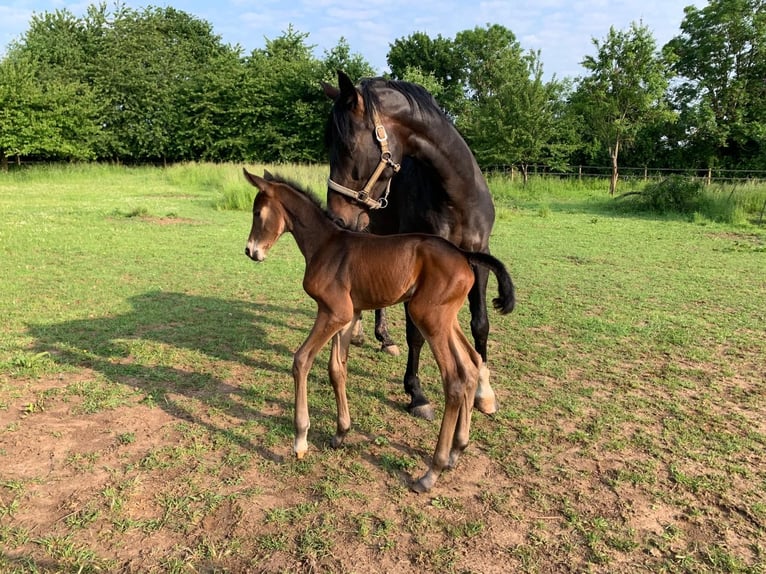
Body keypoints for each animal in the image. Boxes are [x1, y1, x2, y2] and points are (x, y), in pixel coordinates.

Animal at [243, 168, 512, 496]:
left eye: (257, 213)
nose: (250, 251)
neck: (325, 244)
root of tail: (462, 254)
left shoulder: (333, 312)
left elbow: (301, 359)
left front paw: (300, 440)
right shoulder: (349, 315)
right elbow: (336, 368)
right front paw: (341, 432)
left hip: (428, 317)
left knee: (454, 380)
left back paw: (431, 472)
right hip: (446, 319)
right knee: (471, 365)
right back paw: (456, 451)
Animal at [322, 71, 498, 424]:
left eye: (347, 146)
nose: (335, 216)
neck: (457, 195)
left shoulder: (479, 258)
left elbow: (481, 323)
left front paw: (484, 392)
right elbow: (416, 333)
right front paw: (417, 394)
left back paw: (382, 338)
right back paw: (367, 334)